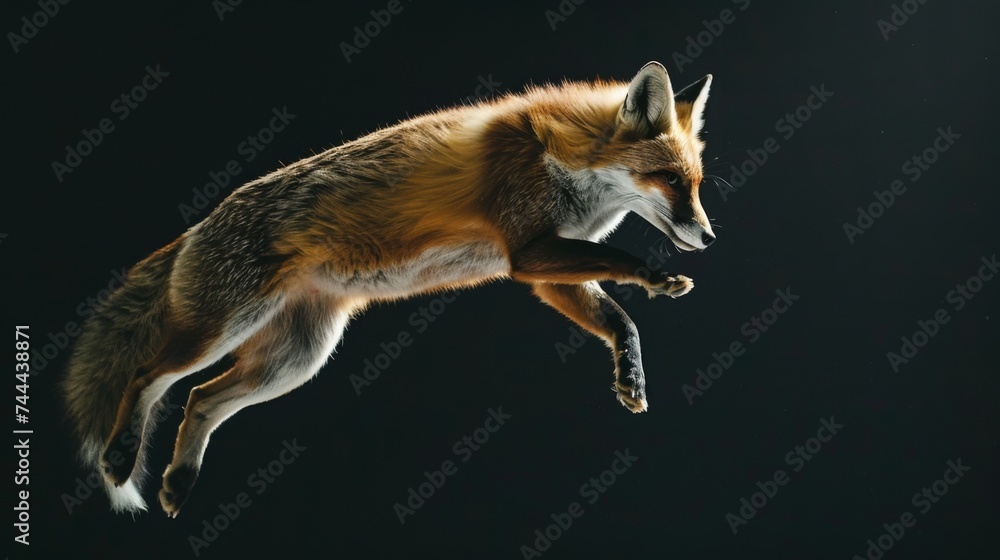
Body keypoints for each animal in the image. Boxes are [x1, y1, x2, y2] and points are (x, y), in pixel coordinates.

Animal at [62, 61, 717, 517]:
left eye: (696, 183)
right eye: (668, 180)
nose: (709, 236)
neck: (563, 155)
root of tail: (195, 228)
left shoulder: (544, 273)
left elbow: (620, 321)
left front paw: (631, 376)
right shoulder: (529, 251)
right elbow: (619, 258)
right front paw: (657, 277)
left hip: (295, 360)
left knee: (199, 400)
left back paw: (178, 482)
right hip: (223, 331)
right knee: (148, 378)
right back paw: (121, 457)